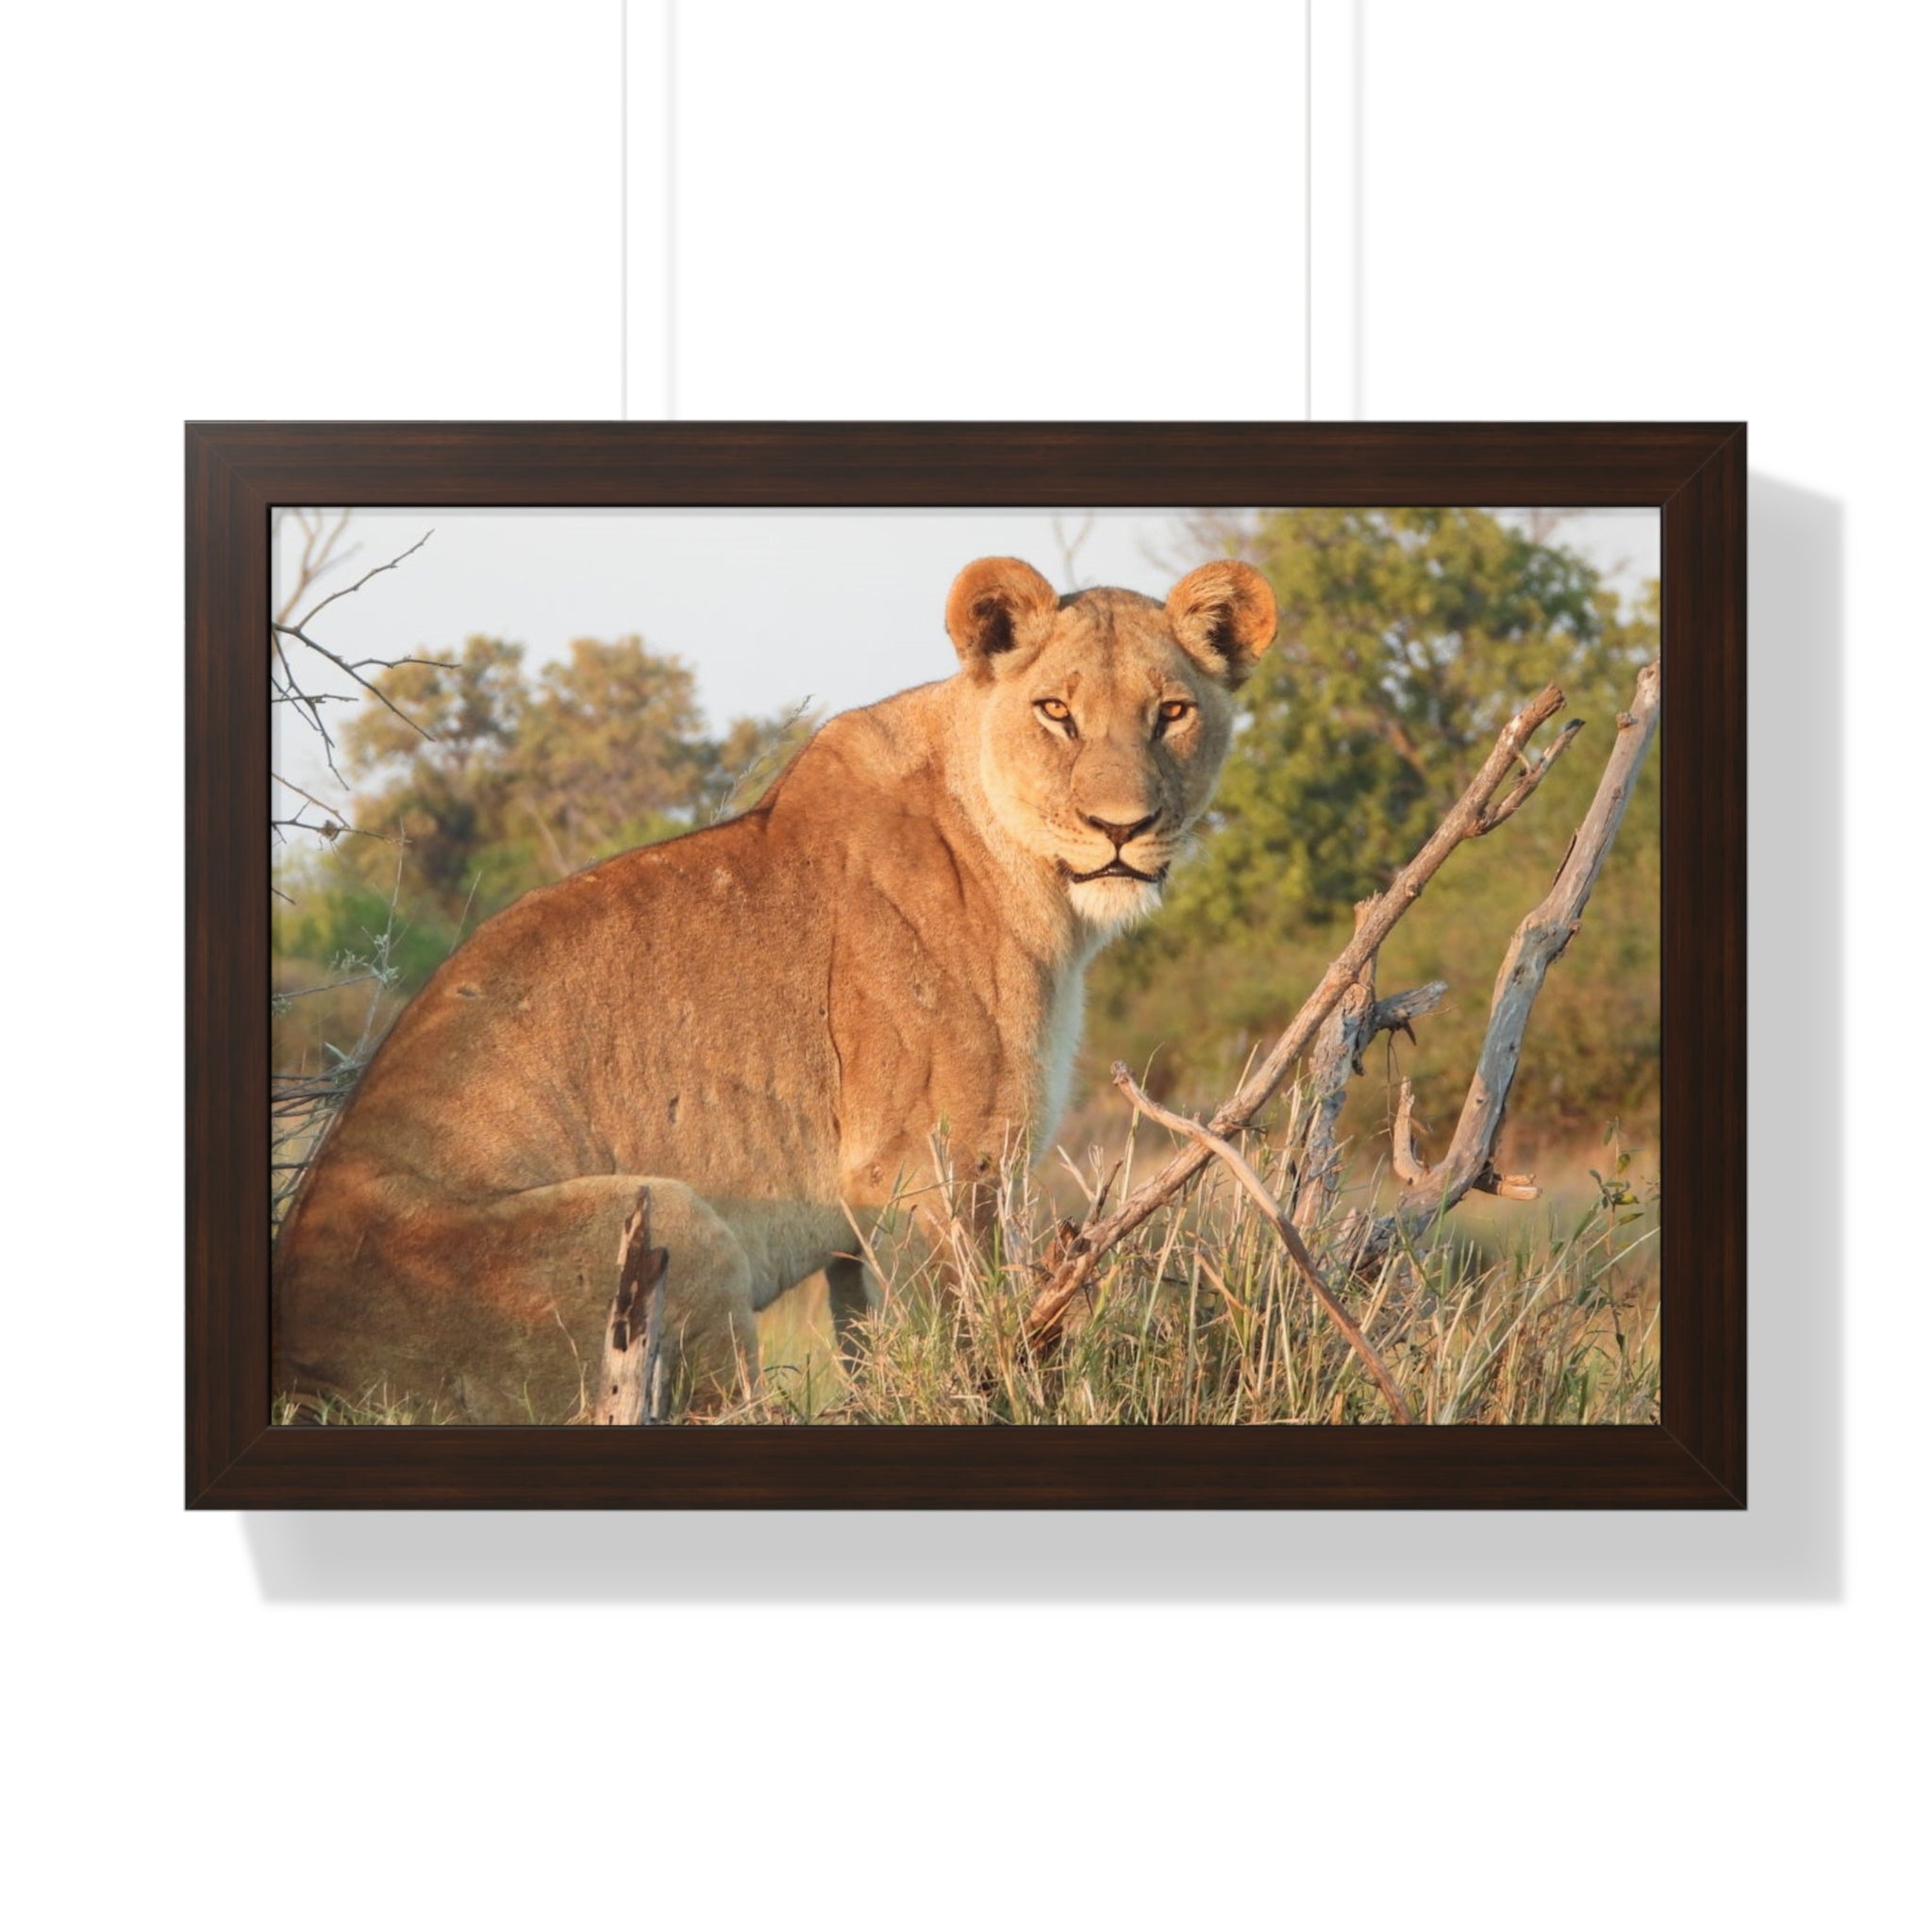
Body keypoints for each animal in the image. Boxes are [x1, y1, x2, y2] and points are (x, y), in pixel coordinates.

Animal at [273, 554, 1277, 1421]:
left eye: (1173, 712)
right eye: (1056, 711)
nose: (1122, 828)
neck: (1038, 887)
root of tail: (302, 1365)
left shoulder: (870, 1217)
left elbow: (879, 1345)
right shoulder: (927, 1173)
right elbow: (963, 1343)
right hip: (672, 1220)